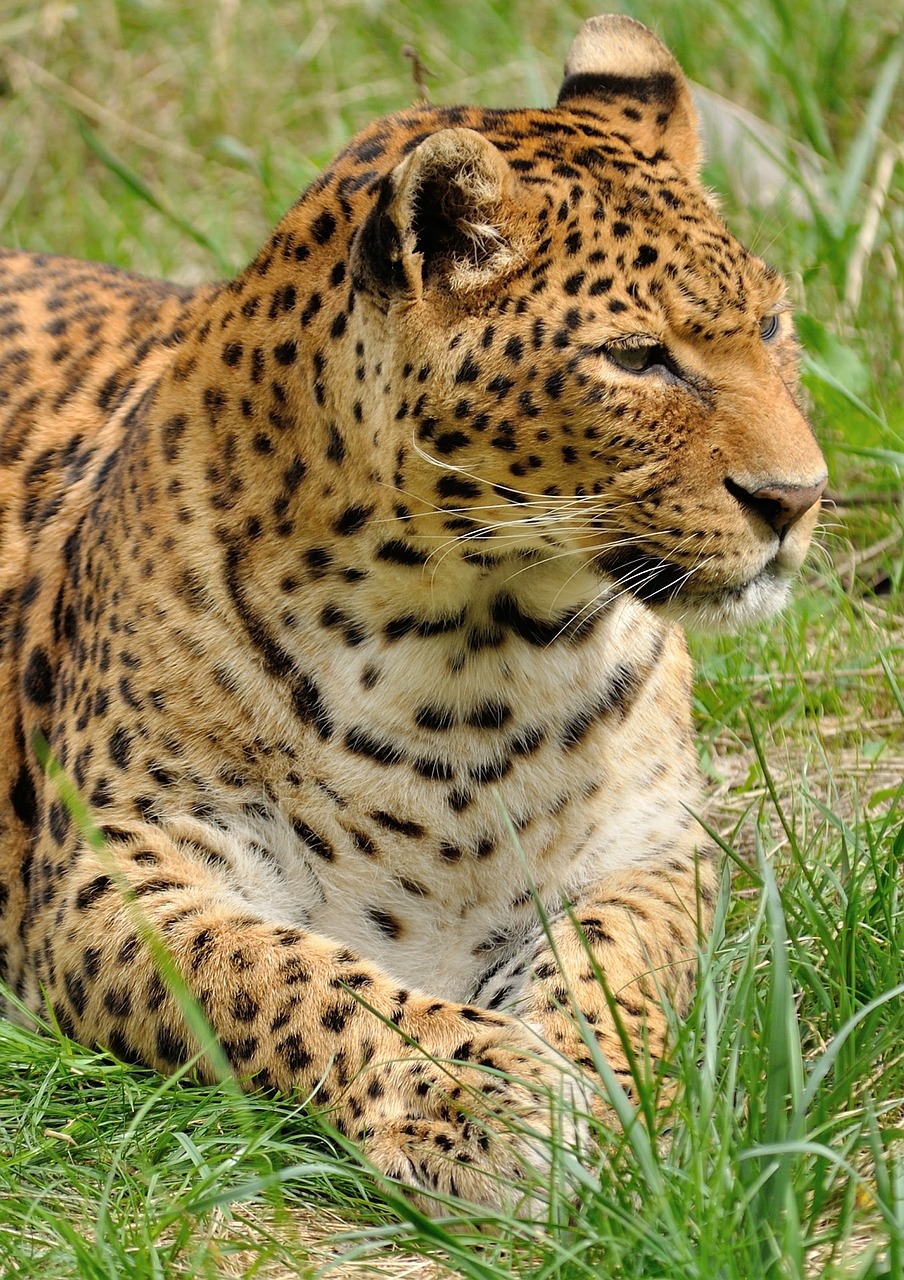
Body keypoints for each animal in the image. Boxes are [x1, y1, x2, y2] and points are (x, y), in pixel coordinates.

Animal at [0, 15, 824, 1213]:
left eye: (770, 324)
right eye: (636, 358)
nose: (797, 498)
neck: (475, 648)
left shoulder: (655, 850)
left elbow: (609, 966)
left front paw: (591, 1085)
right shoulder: (114, 871)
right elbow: (291, 975)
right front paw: (468, 1100)